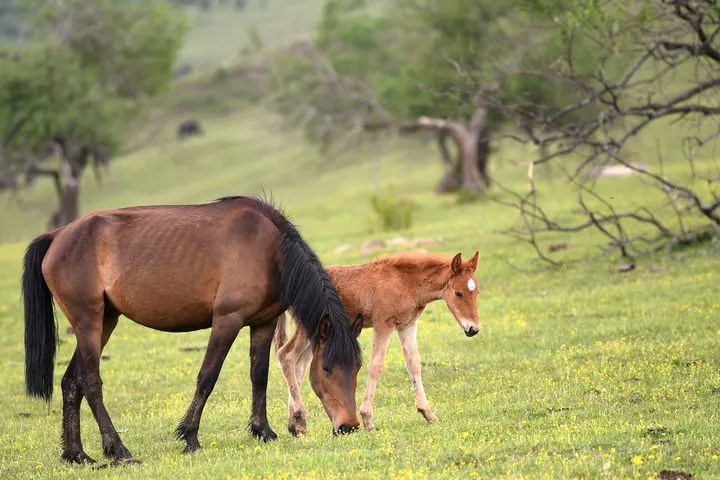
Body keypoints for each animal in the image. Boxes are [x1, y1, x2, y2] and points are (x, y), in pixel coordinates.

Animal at [24, 196, 362, 464]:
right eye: (326, 369)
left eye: (356, 367)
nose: (350, 426)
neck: (268, 248)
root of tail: (58, 235)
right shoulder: (227, 320)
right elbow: (207, 377)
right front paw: (189, 437)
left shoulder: (263, 323)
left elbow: (259, 375)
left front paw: (263, 431)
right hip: (89, 322)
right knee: (91, 382)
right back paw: (118, 450)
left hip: (105, 321)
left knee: (72, 382)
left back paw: (76, 454)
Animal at [274, 251, 478, 436]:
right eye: (458, 293)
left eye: (476, 292)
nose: (473, 329)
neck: (404, 282)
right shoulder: (383, 323)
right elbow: (376, 365)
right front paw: (368, 420)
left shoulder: (407, 324)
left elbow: (414, 365)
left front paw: (428, 413)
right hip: (309, 329)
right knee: (286, 356)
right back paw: (298, 420)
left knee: (299, 365)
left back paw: (296, 424)